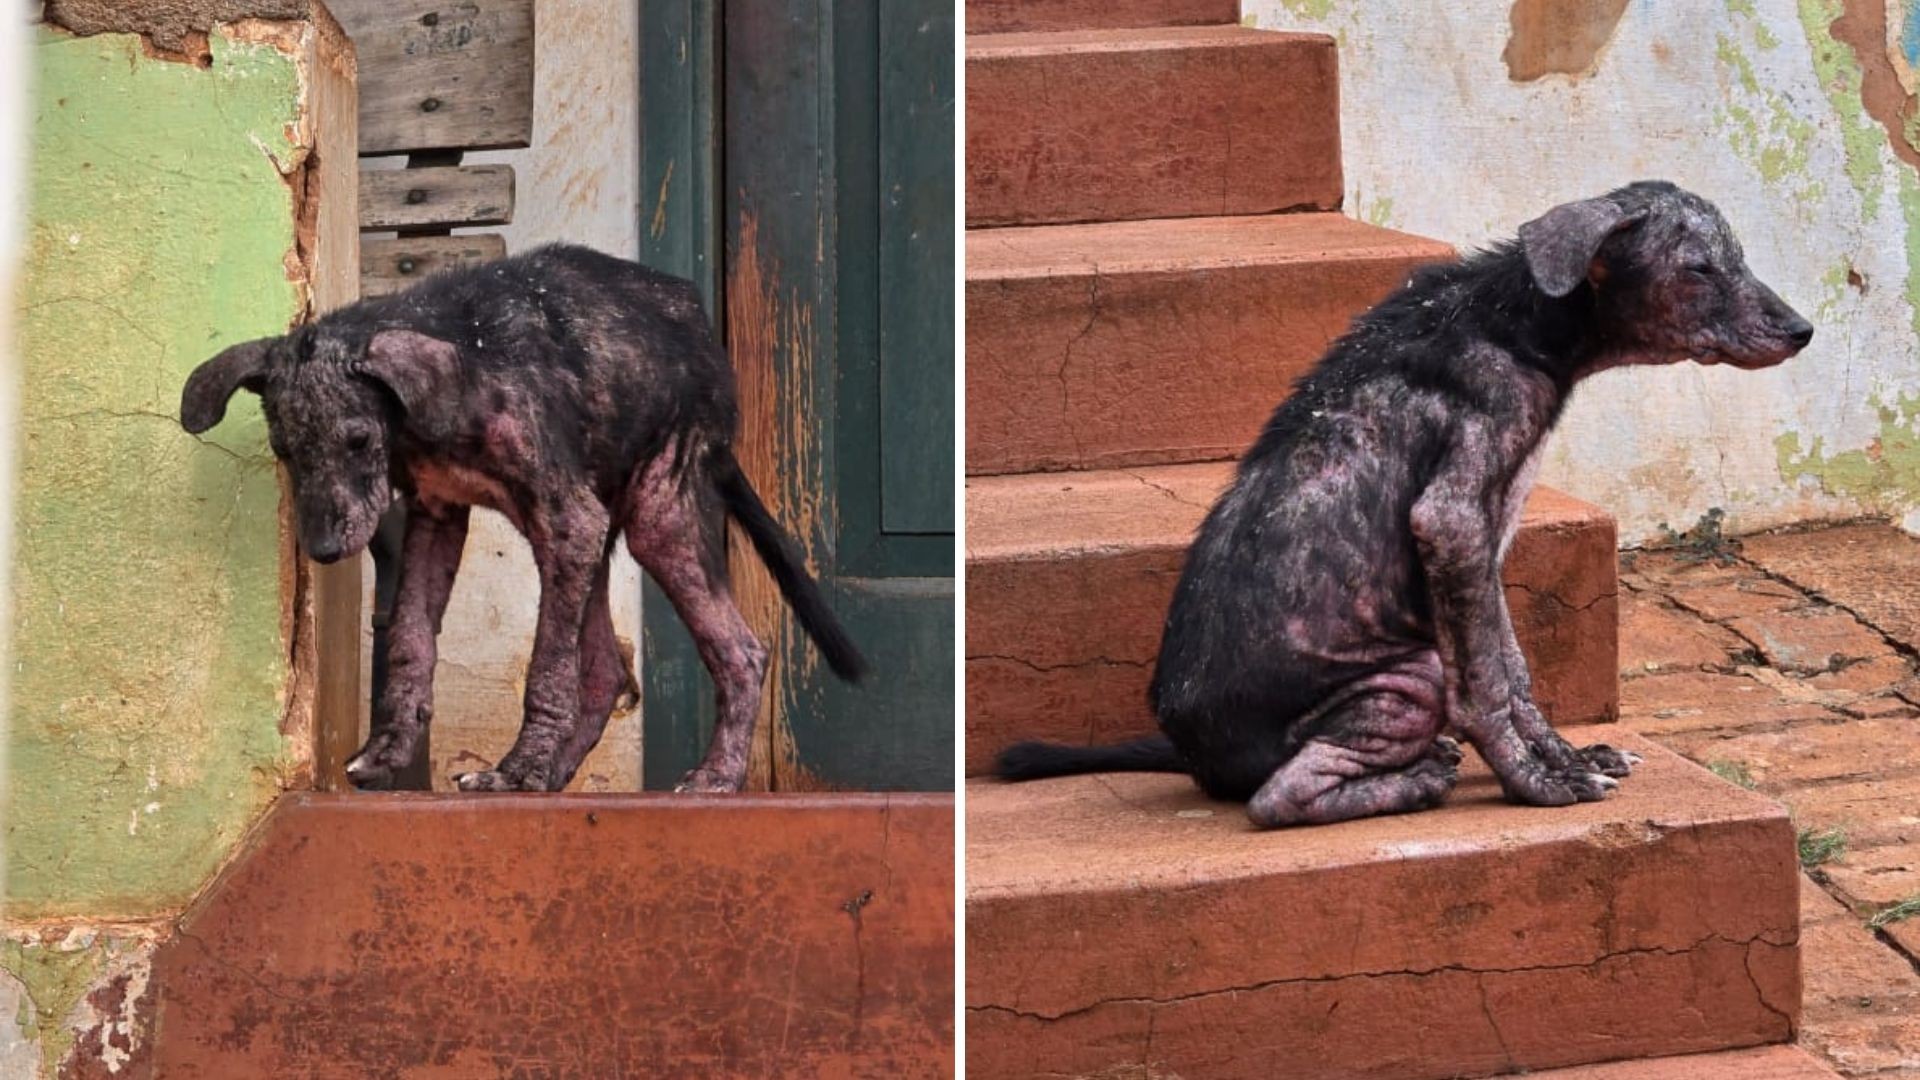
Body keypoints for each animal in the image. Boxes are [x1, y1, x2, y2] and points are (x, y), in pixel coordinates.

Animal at [183, 242, 867, 791]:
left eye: (357, 440)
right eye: (284, 451)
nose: (323, 549)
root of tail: (704, 336)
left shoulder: (569, 517)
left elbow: (546, 665)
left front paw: (516, 768)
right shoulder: (439, 517)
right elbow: (409, 638)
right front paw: (389, 749)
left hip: (653, 514)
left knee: (741, 652)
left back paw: (711, 777)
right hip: (592, 536)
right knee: (607, 672)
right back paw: (556, 775)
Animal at [1006, 182, 1812, 822]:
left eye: (1737, 258)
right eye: (1699, 269)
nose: (1803, 331)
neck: (1514, 317)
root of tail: (1198, 759)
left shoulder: (1484, 546)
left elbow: (1512, 667)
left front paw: (1567, 755)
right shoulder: (1453, 519)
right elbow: (1487, 685)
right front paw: (1536, 781)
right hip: (1407, 674)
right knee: (1278, 798)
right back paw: (1416, 780)